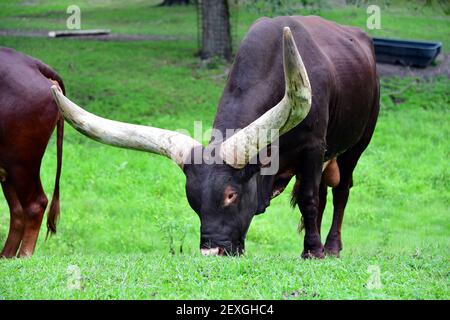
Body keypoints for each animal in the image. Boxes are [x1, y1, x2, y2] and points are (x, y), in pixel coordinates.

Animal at [0, 47, 64, 258]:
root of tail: (31, 63)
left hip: (21, 161)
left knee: (35, 204)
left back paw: (24, 256)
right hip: (8, 167)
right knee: (18, 211)